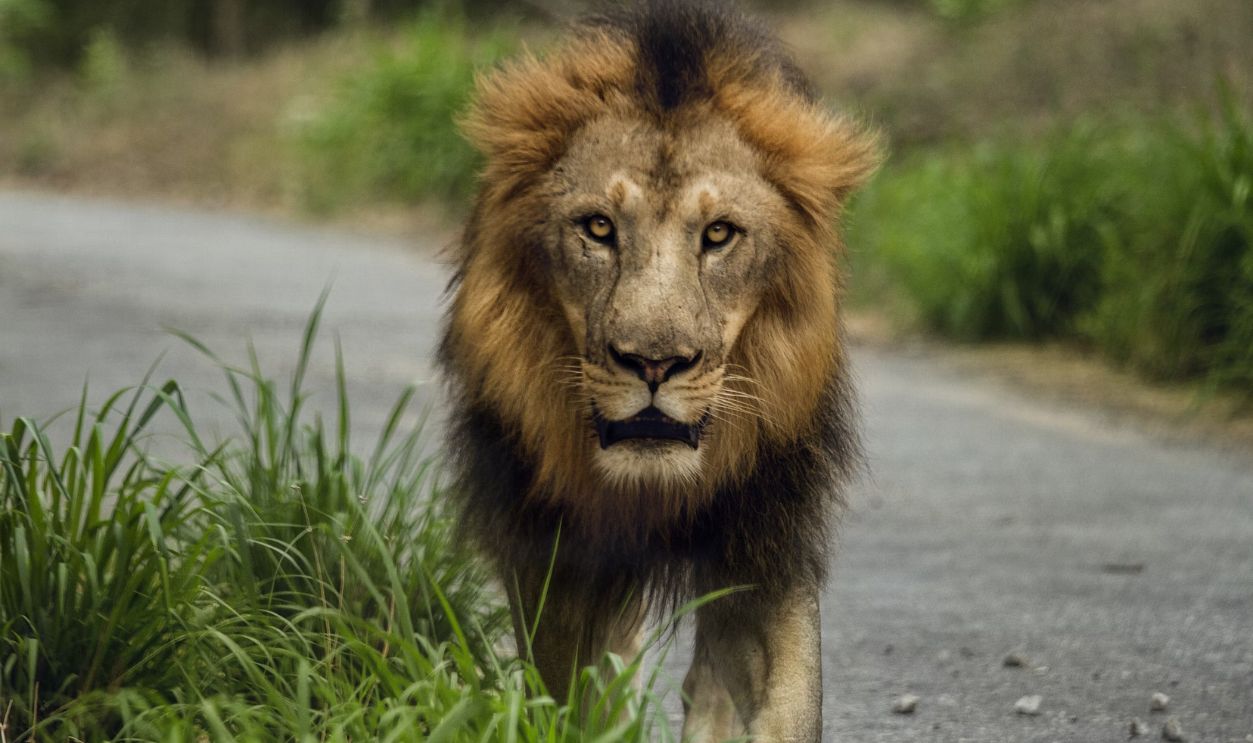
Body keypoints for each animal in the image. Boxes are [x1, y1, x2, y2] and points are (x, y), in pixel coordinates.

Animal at [438, 1, 879, 739]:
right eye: (597, 227)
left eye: (719, 234)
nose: (654, 363)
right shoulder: (556, 563)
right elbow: (577, 701)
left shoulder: (763, 545)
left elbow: (784, 705)